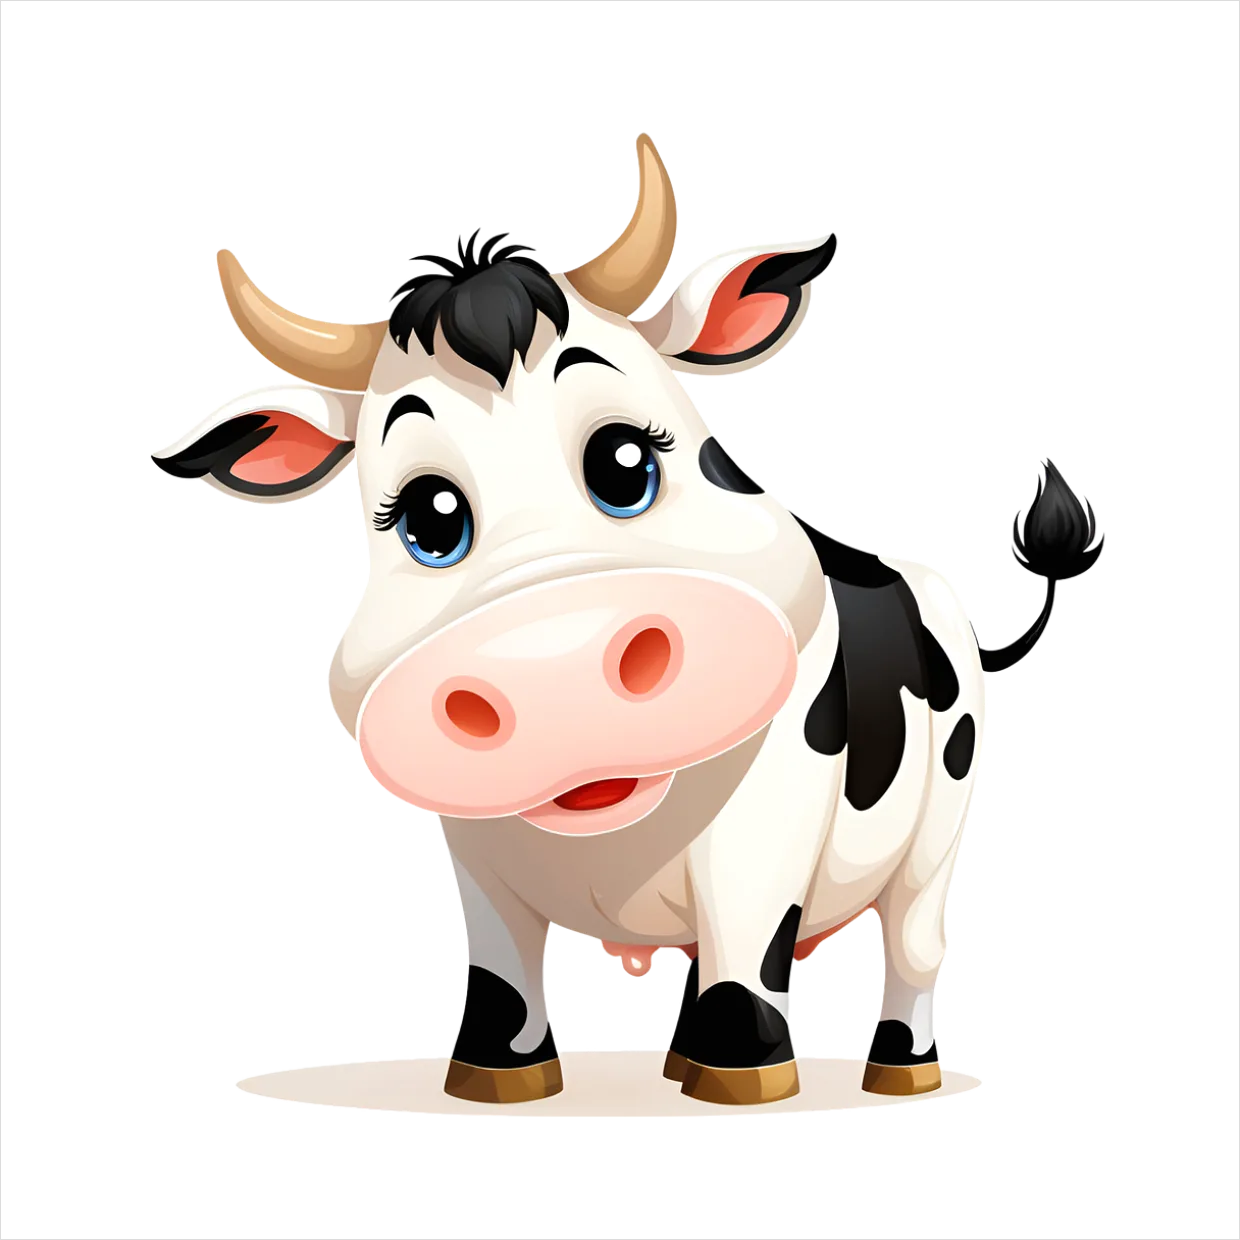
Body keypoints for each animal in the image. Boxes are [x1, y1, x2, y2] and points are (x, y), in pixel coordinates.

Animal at [151, 133, 1103, 1107]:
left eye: (624, 462)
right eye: (429, 520)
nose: (552, 663)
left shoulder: (767, 824)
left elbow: (747, 952)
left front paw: (742, 1080)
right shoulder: (476, 854)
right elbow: (502, 970)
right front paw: (497, 1081)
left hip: (941, 833)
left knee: (914, 947)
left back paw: (897, 1074)